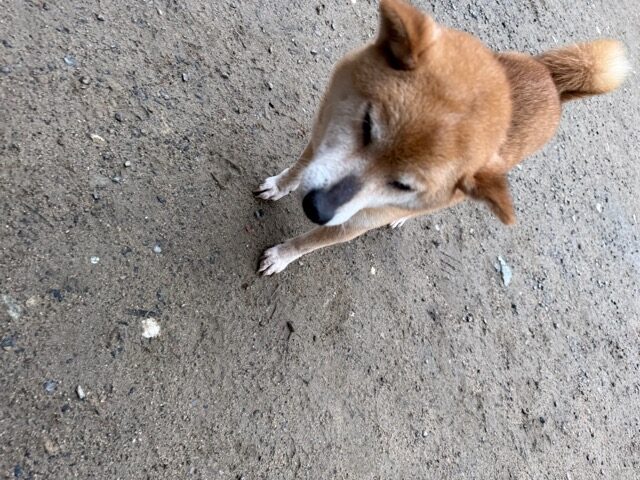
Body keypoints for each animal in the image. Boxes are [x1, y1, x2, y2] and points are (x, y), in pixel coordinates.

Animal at [255, 0, 629, 275]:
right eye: (367, 126)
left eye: (403, 186)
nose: (316, 208)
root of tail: (551, 80)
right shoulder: (322, 135)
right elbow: (300, 167)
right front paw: (280, 185)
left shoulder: (349, 224)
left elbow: (309, 242)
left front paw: (282, 256)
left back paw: (403, 216)